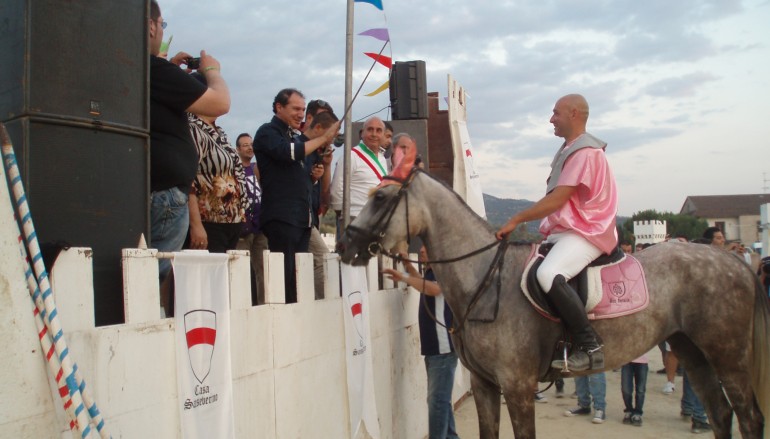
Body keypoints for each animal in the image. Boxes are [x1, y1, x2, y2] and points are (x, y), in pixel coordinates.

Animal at [336, 154, 770, 438]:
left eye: (380, 198)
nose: (344, 245)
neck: (484, 278)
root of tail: (737, 264)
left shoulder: (517, 386)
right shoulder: (484, 385)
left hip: (728, 355)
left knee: (747, 417)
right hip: (691, 349)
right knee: (720, 413)